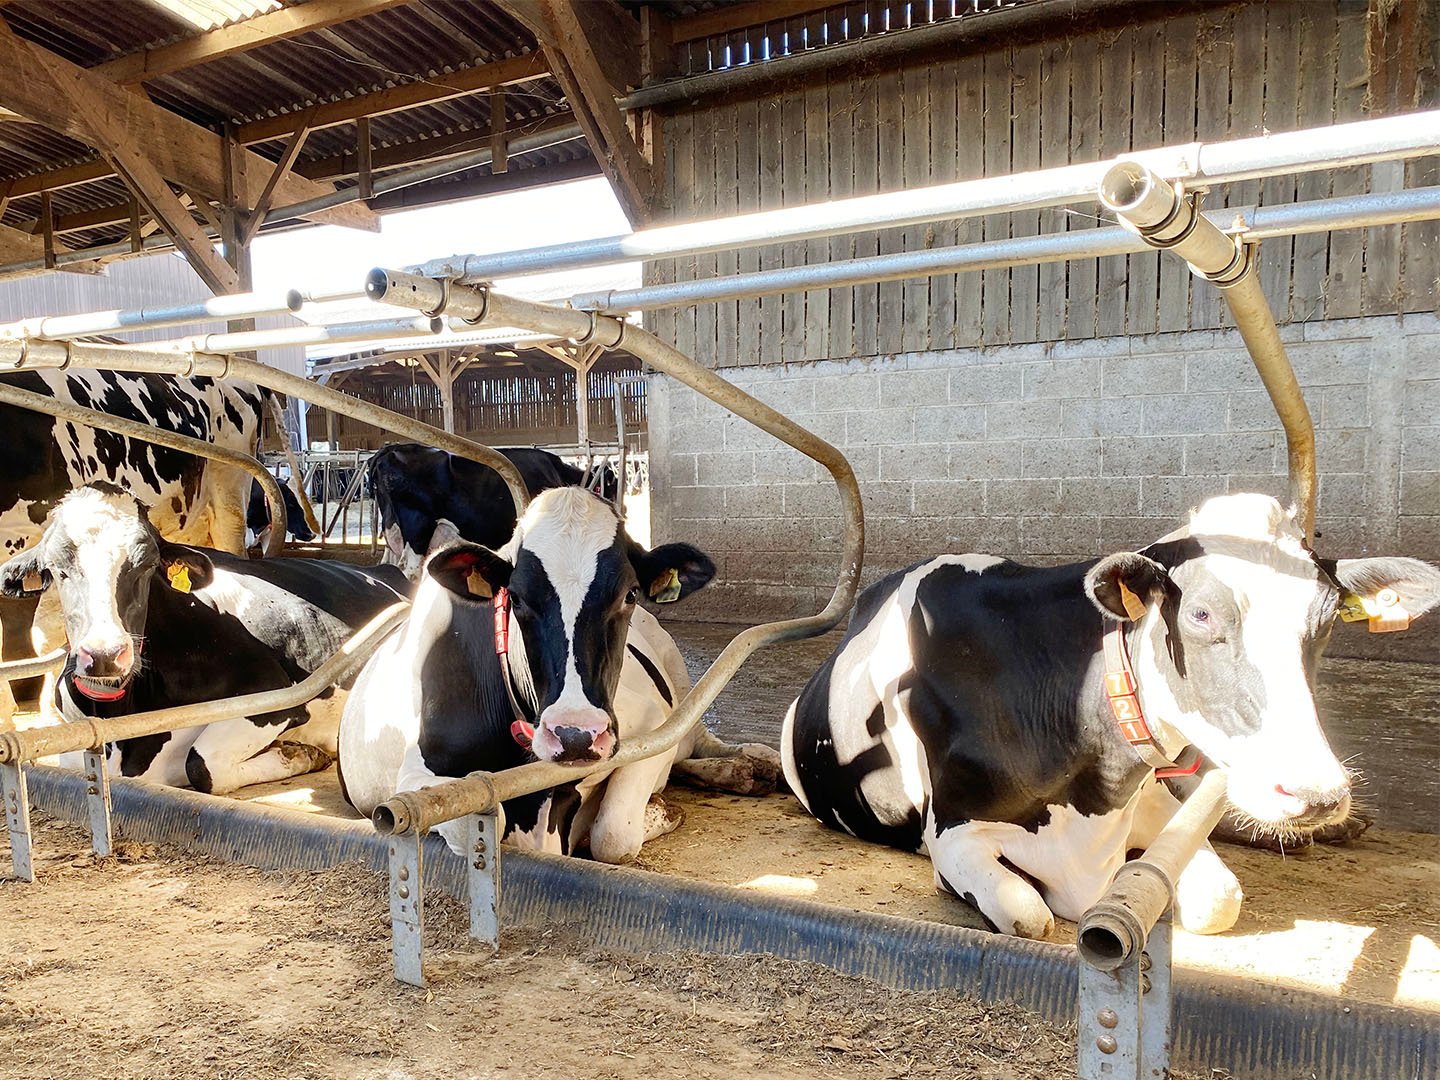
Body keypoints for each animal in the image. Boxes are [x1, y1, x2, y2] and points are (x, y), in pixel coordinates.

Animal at [0, 483, 410, 793]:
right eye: (57, 568)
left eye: (147, 564)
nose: (104, 654)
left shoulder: (276, 698)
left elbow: (201, 765)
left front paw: (300, 754)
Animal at [338, 485, 779, 863]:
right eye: (515, 597)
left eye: (630, 593)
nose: (575, 734)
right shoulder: (413, 776)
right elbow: (484, 818)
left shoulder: (651, 723)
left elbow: (613, 835)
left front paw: (660, 810)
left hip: (676, 668)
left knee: (695, 738)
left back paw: (751, 761)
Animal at [781, 494, 1440, 940]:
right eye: (1200, 613)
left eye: (1326, 620)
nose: (1317, 793)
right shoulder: (952, 835)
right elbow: (1029, 914)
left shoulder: (1149, 805)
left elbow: (1218, 898)